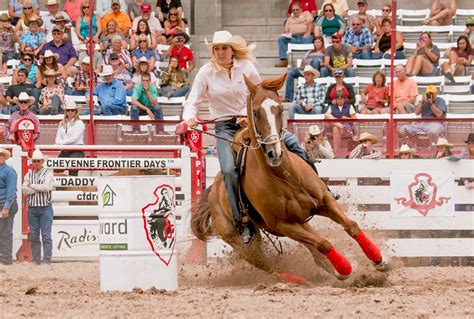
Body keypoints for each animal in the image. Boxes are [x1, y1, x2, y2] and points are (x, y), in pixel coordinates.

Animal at [191, 74, 390, 280]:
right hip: (242, 242)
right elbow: (324, 243)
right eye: (255, 112)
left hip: (301, 223)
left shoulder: (324, 201)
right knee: (270, 266)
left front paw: (380, 261)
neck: (283, 176)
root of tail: (212, 194)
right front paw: (344, 270)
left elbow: (351, 226)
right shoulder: (284, 225)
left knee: (315, 256)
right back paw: (300, 280)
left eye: (279, 109)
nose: (274, 153)